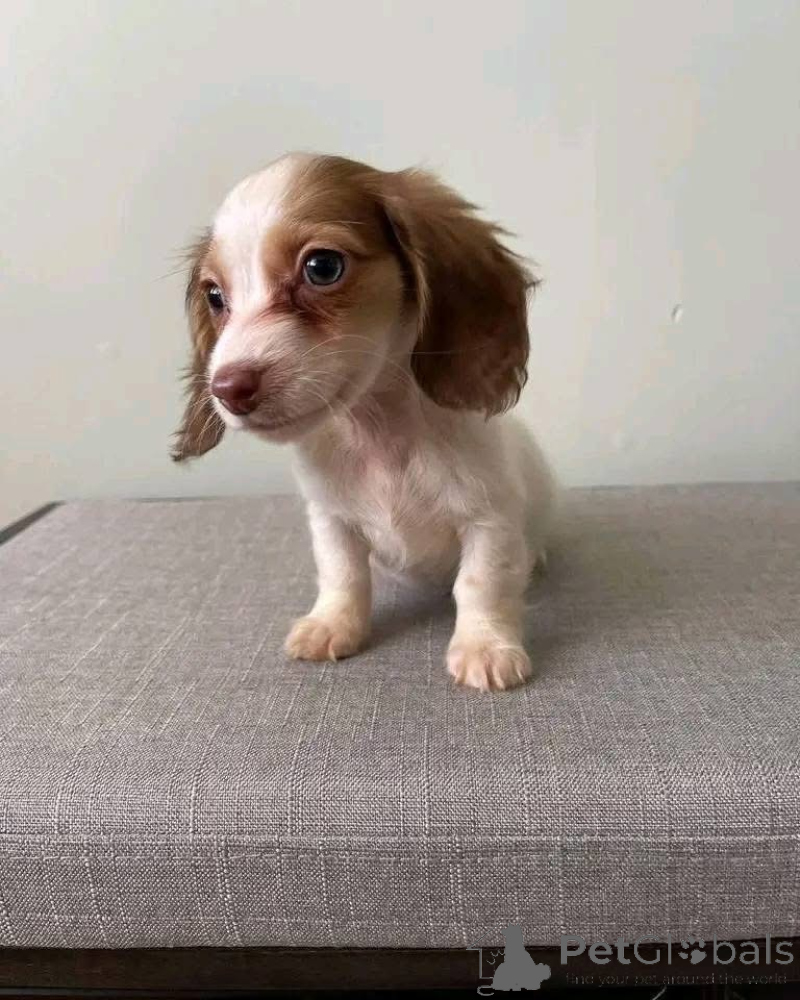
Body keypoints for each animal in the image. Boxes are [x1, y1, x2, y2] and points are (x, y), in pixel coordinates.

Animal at [172, 153, 555, 691]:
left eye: (322, 267)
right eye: (214, 296)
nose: (226, 389)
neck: (381, 435)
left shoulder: (490, 518)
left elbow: (482, 582)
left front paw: (485, 646)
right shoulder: (331, 519)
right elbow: (343, 576)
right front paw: (333, 625)